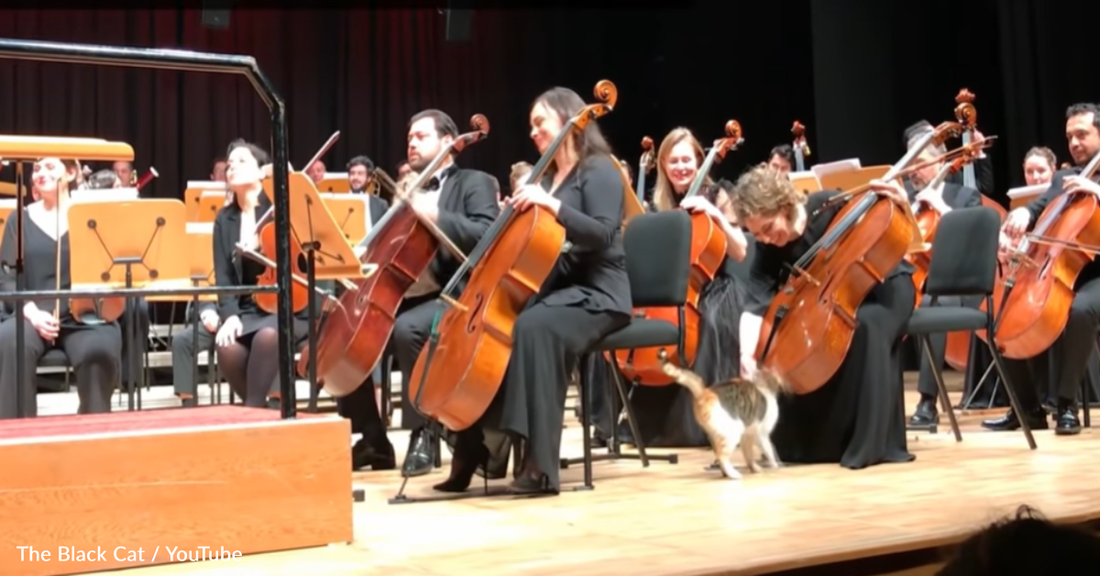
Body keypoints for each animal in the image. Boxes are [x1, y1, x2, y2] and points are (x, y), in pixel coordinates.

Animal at [655, 353, 787, 479]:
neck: (763, 387)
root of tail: (705, 393)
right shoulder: (761, 434)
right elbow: (769, 449)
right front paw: (775, 464)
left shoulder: (747, 436)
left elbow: (748, 454)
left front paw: (754, 468)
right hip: (732, 431)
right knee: (722, 456)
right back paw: (733, 474)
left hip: (715, 433)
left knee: (719, 455)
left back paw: (725, 473)